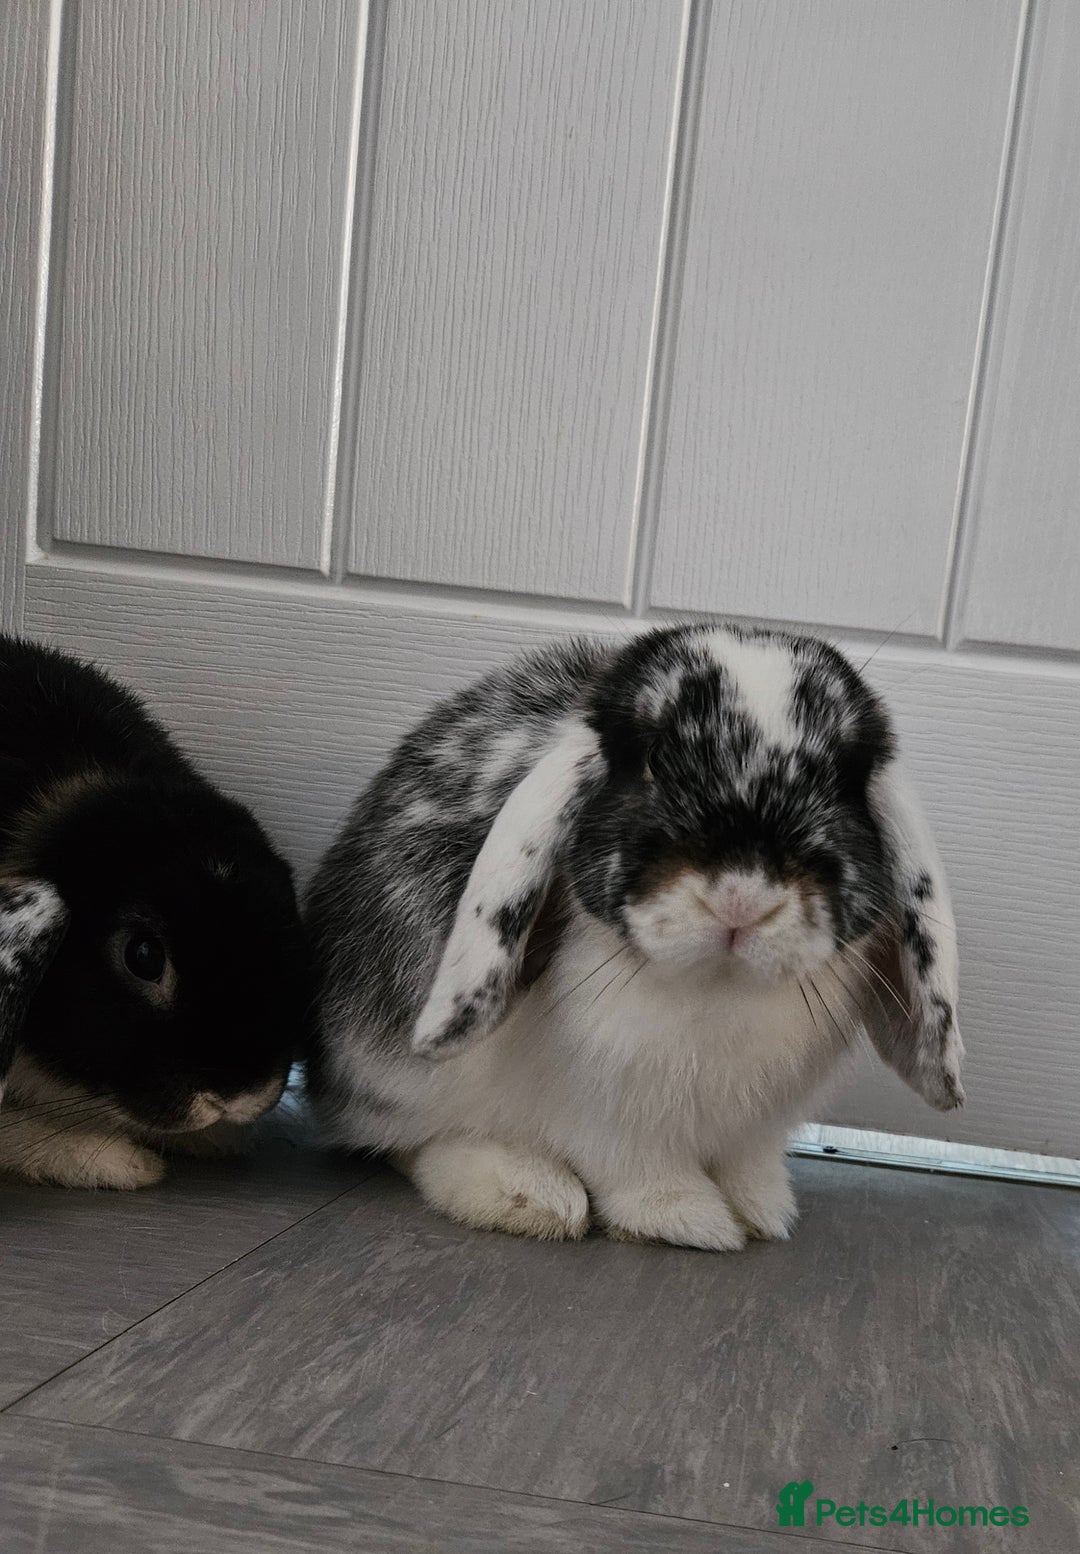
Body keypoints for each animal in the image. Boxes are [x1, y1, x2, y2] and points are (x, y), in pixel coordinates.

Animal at [305, 623, 963, 1250]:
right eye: (653, 759)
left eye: (844, 780)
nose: (742, 898)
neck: (716, 988)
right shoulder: (604, 1118)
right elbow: (638, 1171)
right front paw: (689, 1219)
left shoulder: (755, 1131)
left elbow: (749, 1167)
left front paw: (763, 1212)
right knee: (402, 1140)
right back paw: (529, 1195)